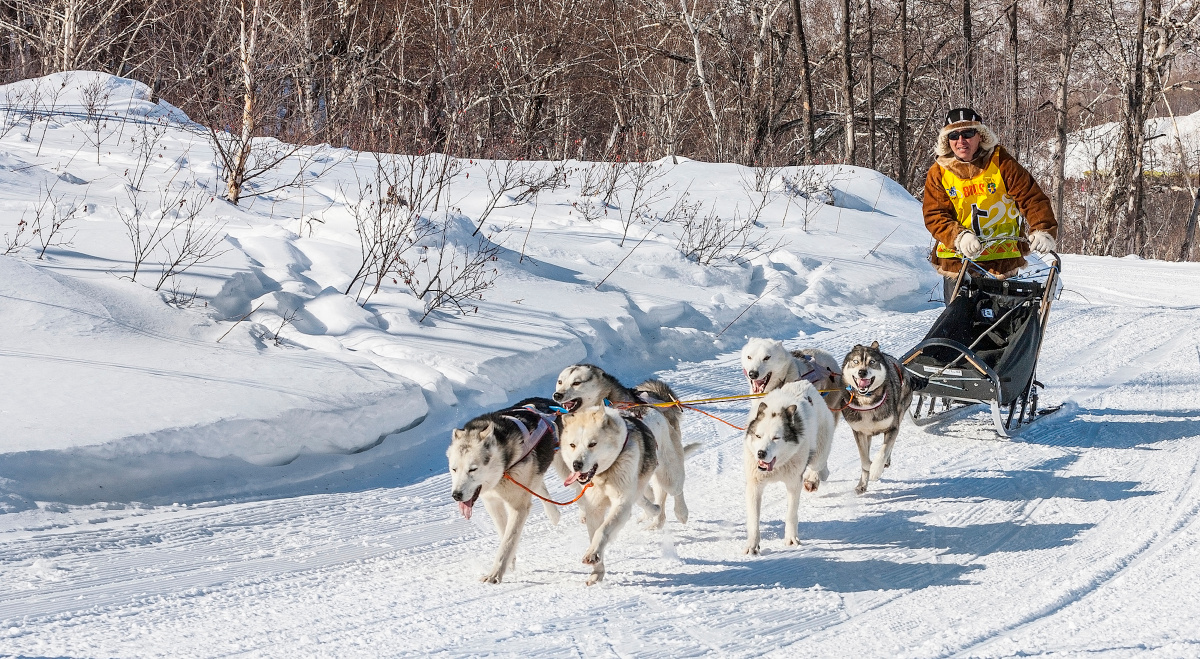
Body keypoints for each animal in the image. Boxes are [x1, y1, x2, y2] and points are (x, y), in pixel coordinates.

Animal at [451, 396, 566, 580]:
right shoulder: (493, 503)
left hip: (567, 465)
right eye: (454, 469)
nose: (456, 495)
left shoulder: (517, 506)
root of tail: (549, 402)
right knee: (539, 485)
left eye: (473, 469)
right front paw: (510, 561)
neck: (501, 471)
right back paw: (553, 514)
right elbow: (503, 533)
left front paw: (495, 574)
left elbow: (508, 541)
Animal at [552, 362, 696, 525]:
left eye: (576, 383)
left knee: (671, 488)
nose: (557, 395)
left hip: (667, 466)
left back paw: (678, 512)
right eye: (560, 382)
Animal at [559, 408, 662, 583]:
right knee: (642, 500)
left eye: (592, 444)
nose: (576, 464)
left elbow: (602, 531)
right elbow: (594, 534)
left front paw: (593, 554)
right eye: (572, 445)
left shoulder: (621, 502)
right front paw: (597, 571)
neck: (603, 476)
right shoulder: (594, 508)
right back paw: (654, 509)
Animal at [739, 379, 835, 554]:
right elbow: (754, 519)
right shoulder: (754, 486)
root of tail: (806, 382)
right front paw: (752, 545)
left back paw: (815, 478)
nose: (761, 453)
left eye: (776, 438)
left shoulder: (793, 483)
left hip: (819, 451)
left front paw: (791, 538)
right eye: (758, 436)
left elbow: (791, 514)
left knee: (818, 464)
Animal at [844, 340, 916, 489]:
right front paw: (867, 472)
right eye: (855, 361)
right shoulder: (859, 432)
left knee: (889, 447)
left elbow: (883, 451)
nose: (862, 372)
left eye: (872, 362)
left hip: (900, 412)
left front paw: (876, 470)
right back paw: (862, 484)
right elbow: (864, 460)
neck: (867, 401)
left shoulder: (892, 427)